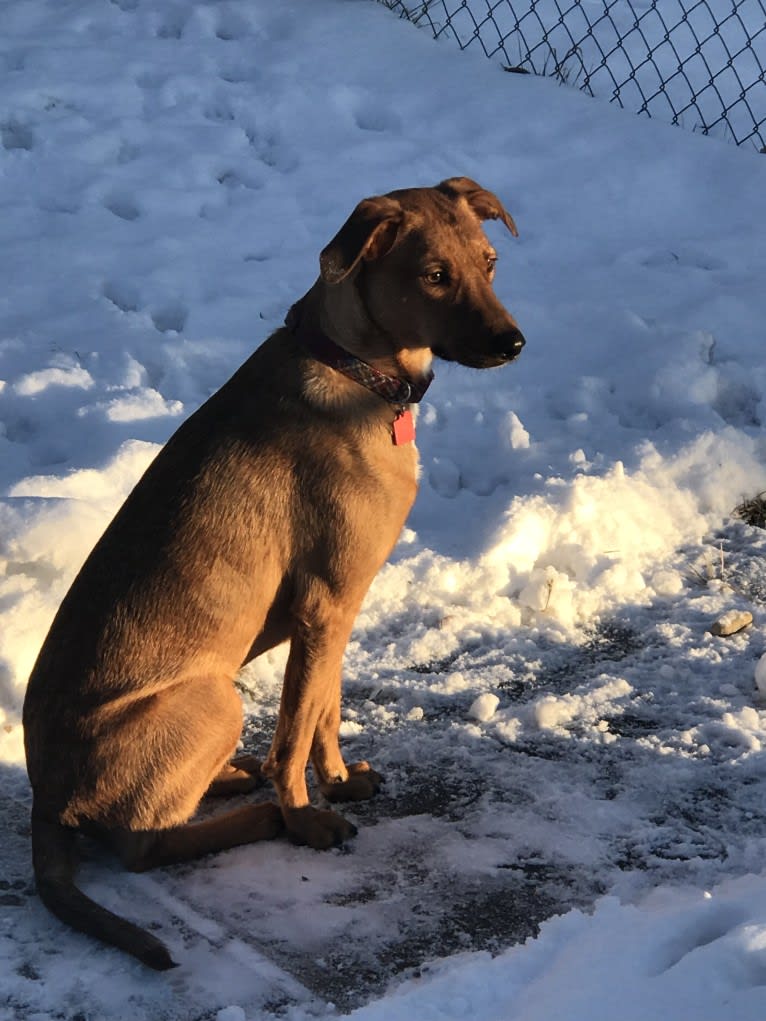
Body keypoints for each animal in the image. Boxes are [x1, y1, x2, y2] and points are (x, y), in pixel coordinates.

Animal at [24, 177, 527, 971]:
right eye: (433, 275)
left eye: (490, 262)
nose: (514, 343)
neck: (355, 368)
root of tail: (44, 797)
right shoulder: (325, 605)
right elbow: (293, 730)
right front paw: (304, 819)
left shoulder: (342, 608)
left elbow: (323, 710)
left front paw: (341, 783)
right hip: (212, 698)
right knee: (142, 845)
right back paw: (259, 813)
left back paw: (232, 777)